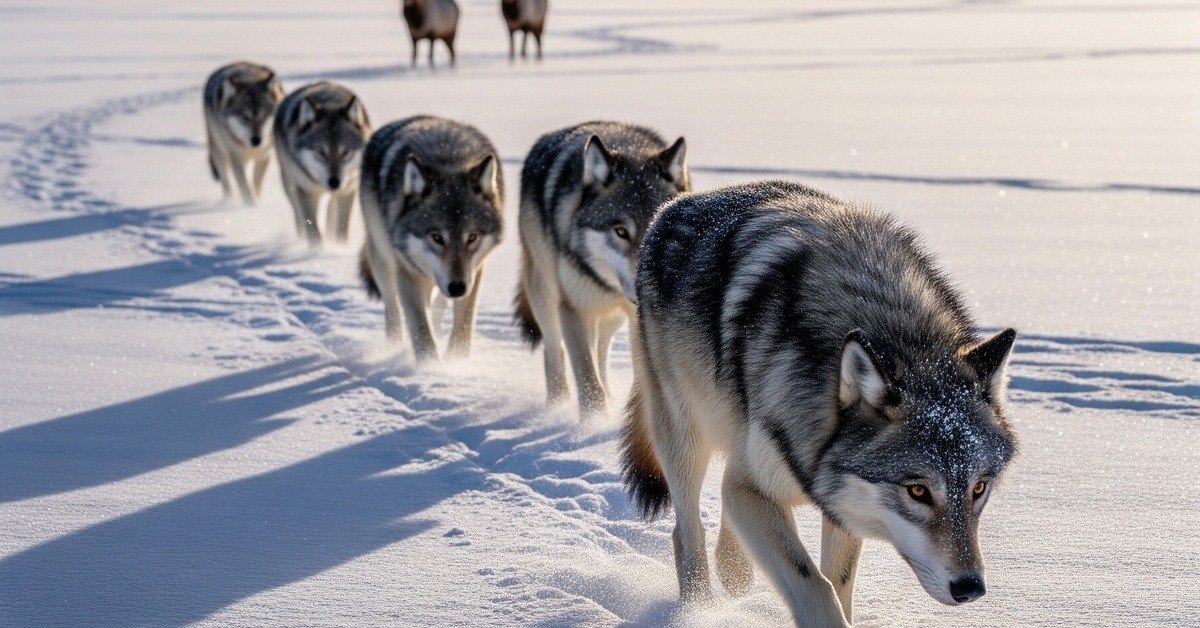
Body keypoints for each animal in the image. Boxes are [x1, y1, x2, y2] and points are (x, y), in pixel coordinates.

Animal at [203, 62, 283, 205]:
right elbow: (245, 186)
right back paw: (228, 201)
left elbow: (256, 183)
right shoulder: (236, 158)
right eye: (245, 117)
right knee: (226, 182)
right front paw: (251, 206)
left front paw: (257, 202)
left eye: (263, 116)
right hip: (220, 152)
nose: (256, 140)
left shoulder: (265, 156)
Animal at [273, 82, 371, 246]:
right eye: (321, 152)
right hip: (290, 185)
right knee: (298, 214)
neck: (329, 102)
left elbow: (341, 228)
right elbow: (313, 230)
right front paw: (316, 250)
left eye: (346, 152)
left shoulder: (347, 190)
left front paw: (339, 247)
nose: (334, 182)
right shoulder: (306, 191)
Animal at [358, 115, 504, 362]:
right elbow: (422, 333)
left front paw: (457, 362)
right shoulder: (408, 273)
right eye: (437, 237)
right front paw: (430, 368)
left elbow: (464, 326)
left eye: (472, 237)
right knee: (392, 308)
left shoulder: (475, 272)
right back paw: (394, 345)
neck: (450, 160)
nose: (457, 287)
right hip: (383, 259)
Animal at [514, 121, 689, 418]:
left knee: (602, 351)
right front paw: (592, 423)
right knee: (554, 351)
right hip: (546, 297)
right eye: (621, 232)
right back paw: (556, 407)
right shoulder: (573, 310)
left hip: (611, 318)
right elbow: (588, 381)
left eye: (657, 226)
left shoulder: (635, 318)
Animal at [622, 181, 1019, 626]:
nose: (971, 588)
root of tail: (676, 203)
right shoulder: (753, 489)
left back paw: (734, 570)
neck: (894, 329)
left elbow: (839, 581)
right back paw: (697, 610)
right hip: (685, 434)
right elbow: (815, 586)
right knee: (687, 531)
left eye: (979, 488)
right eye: (917, 491)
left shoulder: (837, 502)